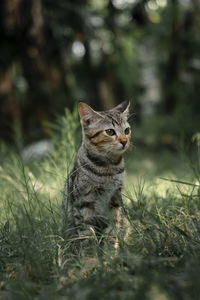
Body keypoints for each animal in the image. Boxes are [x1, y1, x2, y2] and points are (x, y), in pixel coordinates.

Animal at [62, 100, 131, 248]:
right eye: (110, 131)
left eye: (127, 130)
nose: (124, 141)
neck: (108, 168)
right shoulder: (83, 202)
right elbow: (87, 234)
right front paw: (90, 254)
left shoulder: (115, 199)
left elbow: (112, 231)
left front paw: (110, 251)